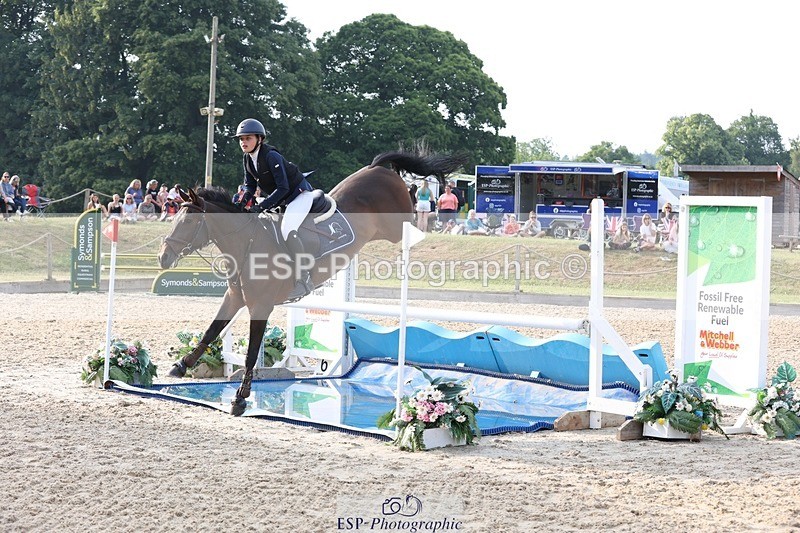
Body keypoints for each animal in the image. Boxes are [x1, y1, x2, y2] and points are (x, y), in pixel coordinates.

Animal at [158, 150, 465, 416]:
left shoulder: (261, 306)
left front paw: (240, 399)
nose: (163, 257)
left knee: (412, 210)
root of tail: (376, 168)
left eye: (189, 223)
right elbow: (212, 331)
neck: (248, 243)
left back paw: (419, 192)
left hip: (396, 224)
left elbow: (251, 353)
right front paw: (181, 366)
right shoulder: (235, 298)